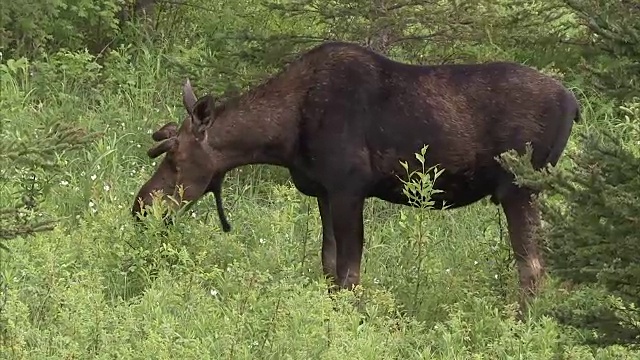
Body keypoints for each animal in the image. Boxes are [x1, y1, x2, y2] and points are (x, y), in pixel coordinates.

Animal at [130, 41, 580, 306]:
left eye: (174, 160)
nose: (141, 205)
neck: (284, 136)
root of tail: (574, 104)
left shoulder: (349, 188)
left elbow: (349, 274)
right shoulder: (324, 193)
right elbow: (328, 267)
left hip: (520, 187)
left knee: (532, 266)